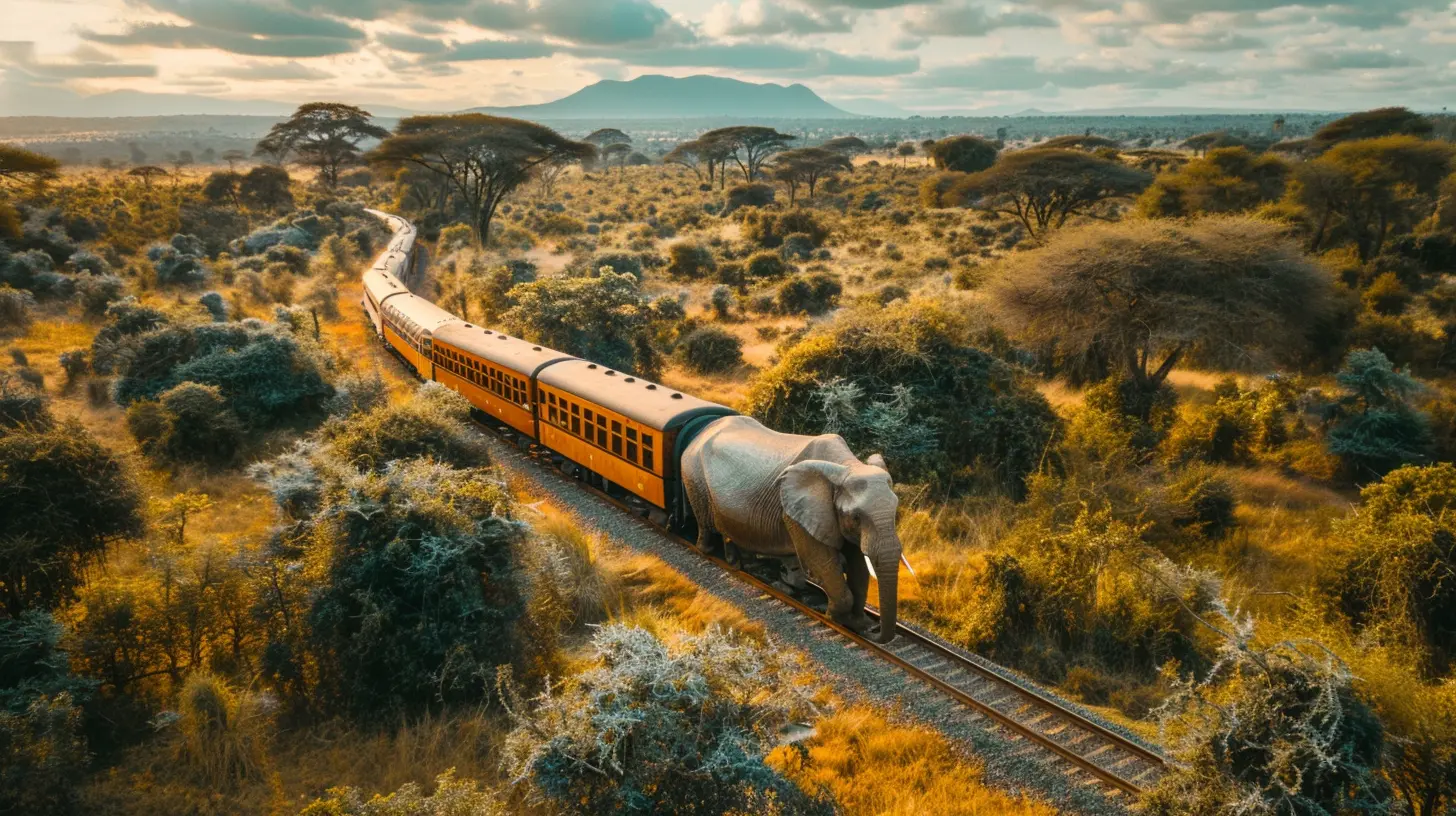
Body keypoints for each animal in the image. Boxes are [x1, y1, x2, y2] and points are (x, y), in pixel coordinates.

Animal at [684, 416, 908, 641]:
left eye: (896, 511)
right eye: (856, 517)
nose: (873, 631)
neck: (847, 465)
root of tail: (703, 429)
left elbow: (858, 565)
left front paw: (856, 623)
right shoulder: (795, 512)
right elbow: (820, 560)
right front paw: (834, 618)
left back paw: (740, 565)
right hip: (694, 476)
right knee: (705, 523)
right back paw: (707, 552)